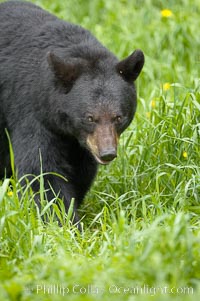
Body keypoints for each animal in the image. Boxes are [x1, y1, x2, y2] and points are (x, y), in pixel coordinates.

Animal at [0, 0, 144, 227]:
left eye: (119, 117)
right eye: (90, 117)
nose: (107, 153)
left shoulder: (80, 143)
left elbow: (81, 171)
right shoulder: (31, 112)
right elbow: (42, 171)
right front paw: (65, 222)